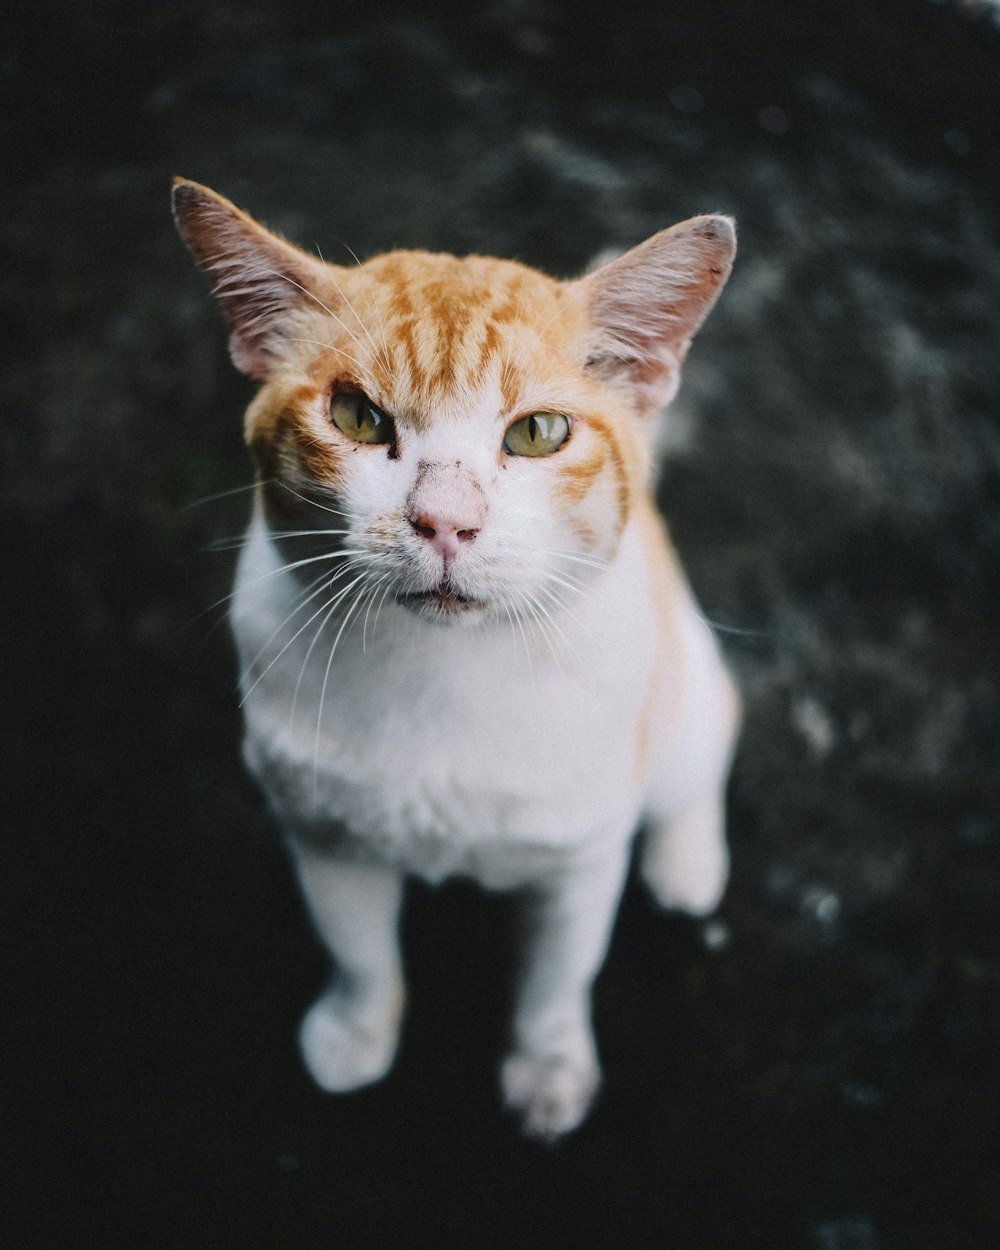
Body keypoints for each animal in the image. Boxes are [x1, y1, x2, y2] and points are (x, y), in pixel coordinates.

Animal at [172, 176, 740, 1145]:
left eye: (540, 432)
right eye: (357, 417)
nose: (445, 521)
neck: (444, 672)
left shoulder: (578, 861)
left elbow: (557, 980)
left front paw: (549, 1071)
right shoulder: (324, 838)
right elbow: (360, 954)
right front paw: (356, 1035)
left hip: (681, 688)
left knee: (702, 752)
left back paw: (687, 863)